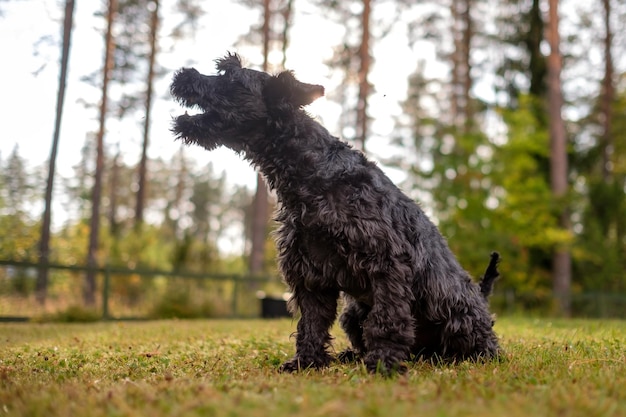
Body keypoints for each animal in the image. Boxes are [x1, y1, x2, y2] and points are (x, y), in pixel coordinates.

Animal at [168, 52, 500, 374]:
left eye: (231, 77)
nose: (182, 74)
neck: (313, 173)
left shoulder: (387, 264)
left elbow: (387, 321)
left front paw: (383, 364)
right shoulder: (311, 273)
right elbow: (311, 325)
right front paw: (306, 362)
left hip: (455, 316)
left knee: (477, 348)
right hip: (352, 314)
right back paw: (352, 355)